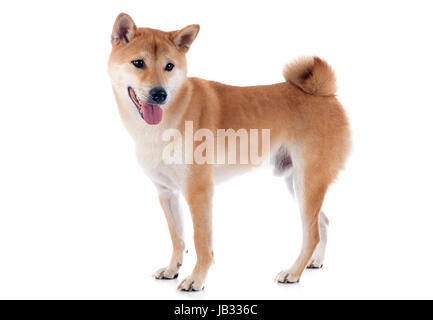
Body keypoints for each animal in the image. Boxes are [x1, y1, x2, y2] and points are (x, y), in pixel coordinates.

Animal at [108, 13, 352, 292]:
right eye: (138, 63)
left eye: (169, 66)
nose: (159, 94)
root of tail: (326, 94)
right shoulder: (166, 192)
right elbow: (177, 238)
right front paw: (172, 270)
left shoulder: (199, 191)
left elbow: (201, 242)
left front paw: (196, 280)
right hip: (298, 185)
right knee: (322, 224)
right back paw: (314, 262)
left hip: (307, 183)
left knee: (311, 234)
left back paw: (293, 272)